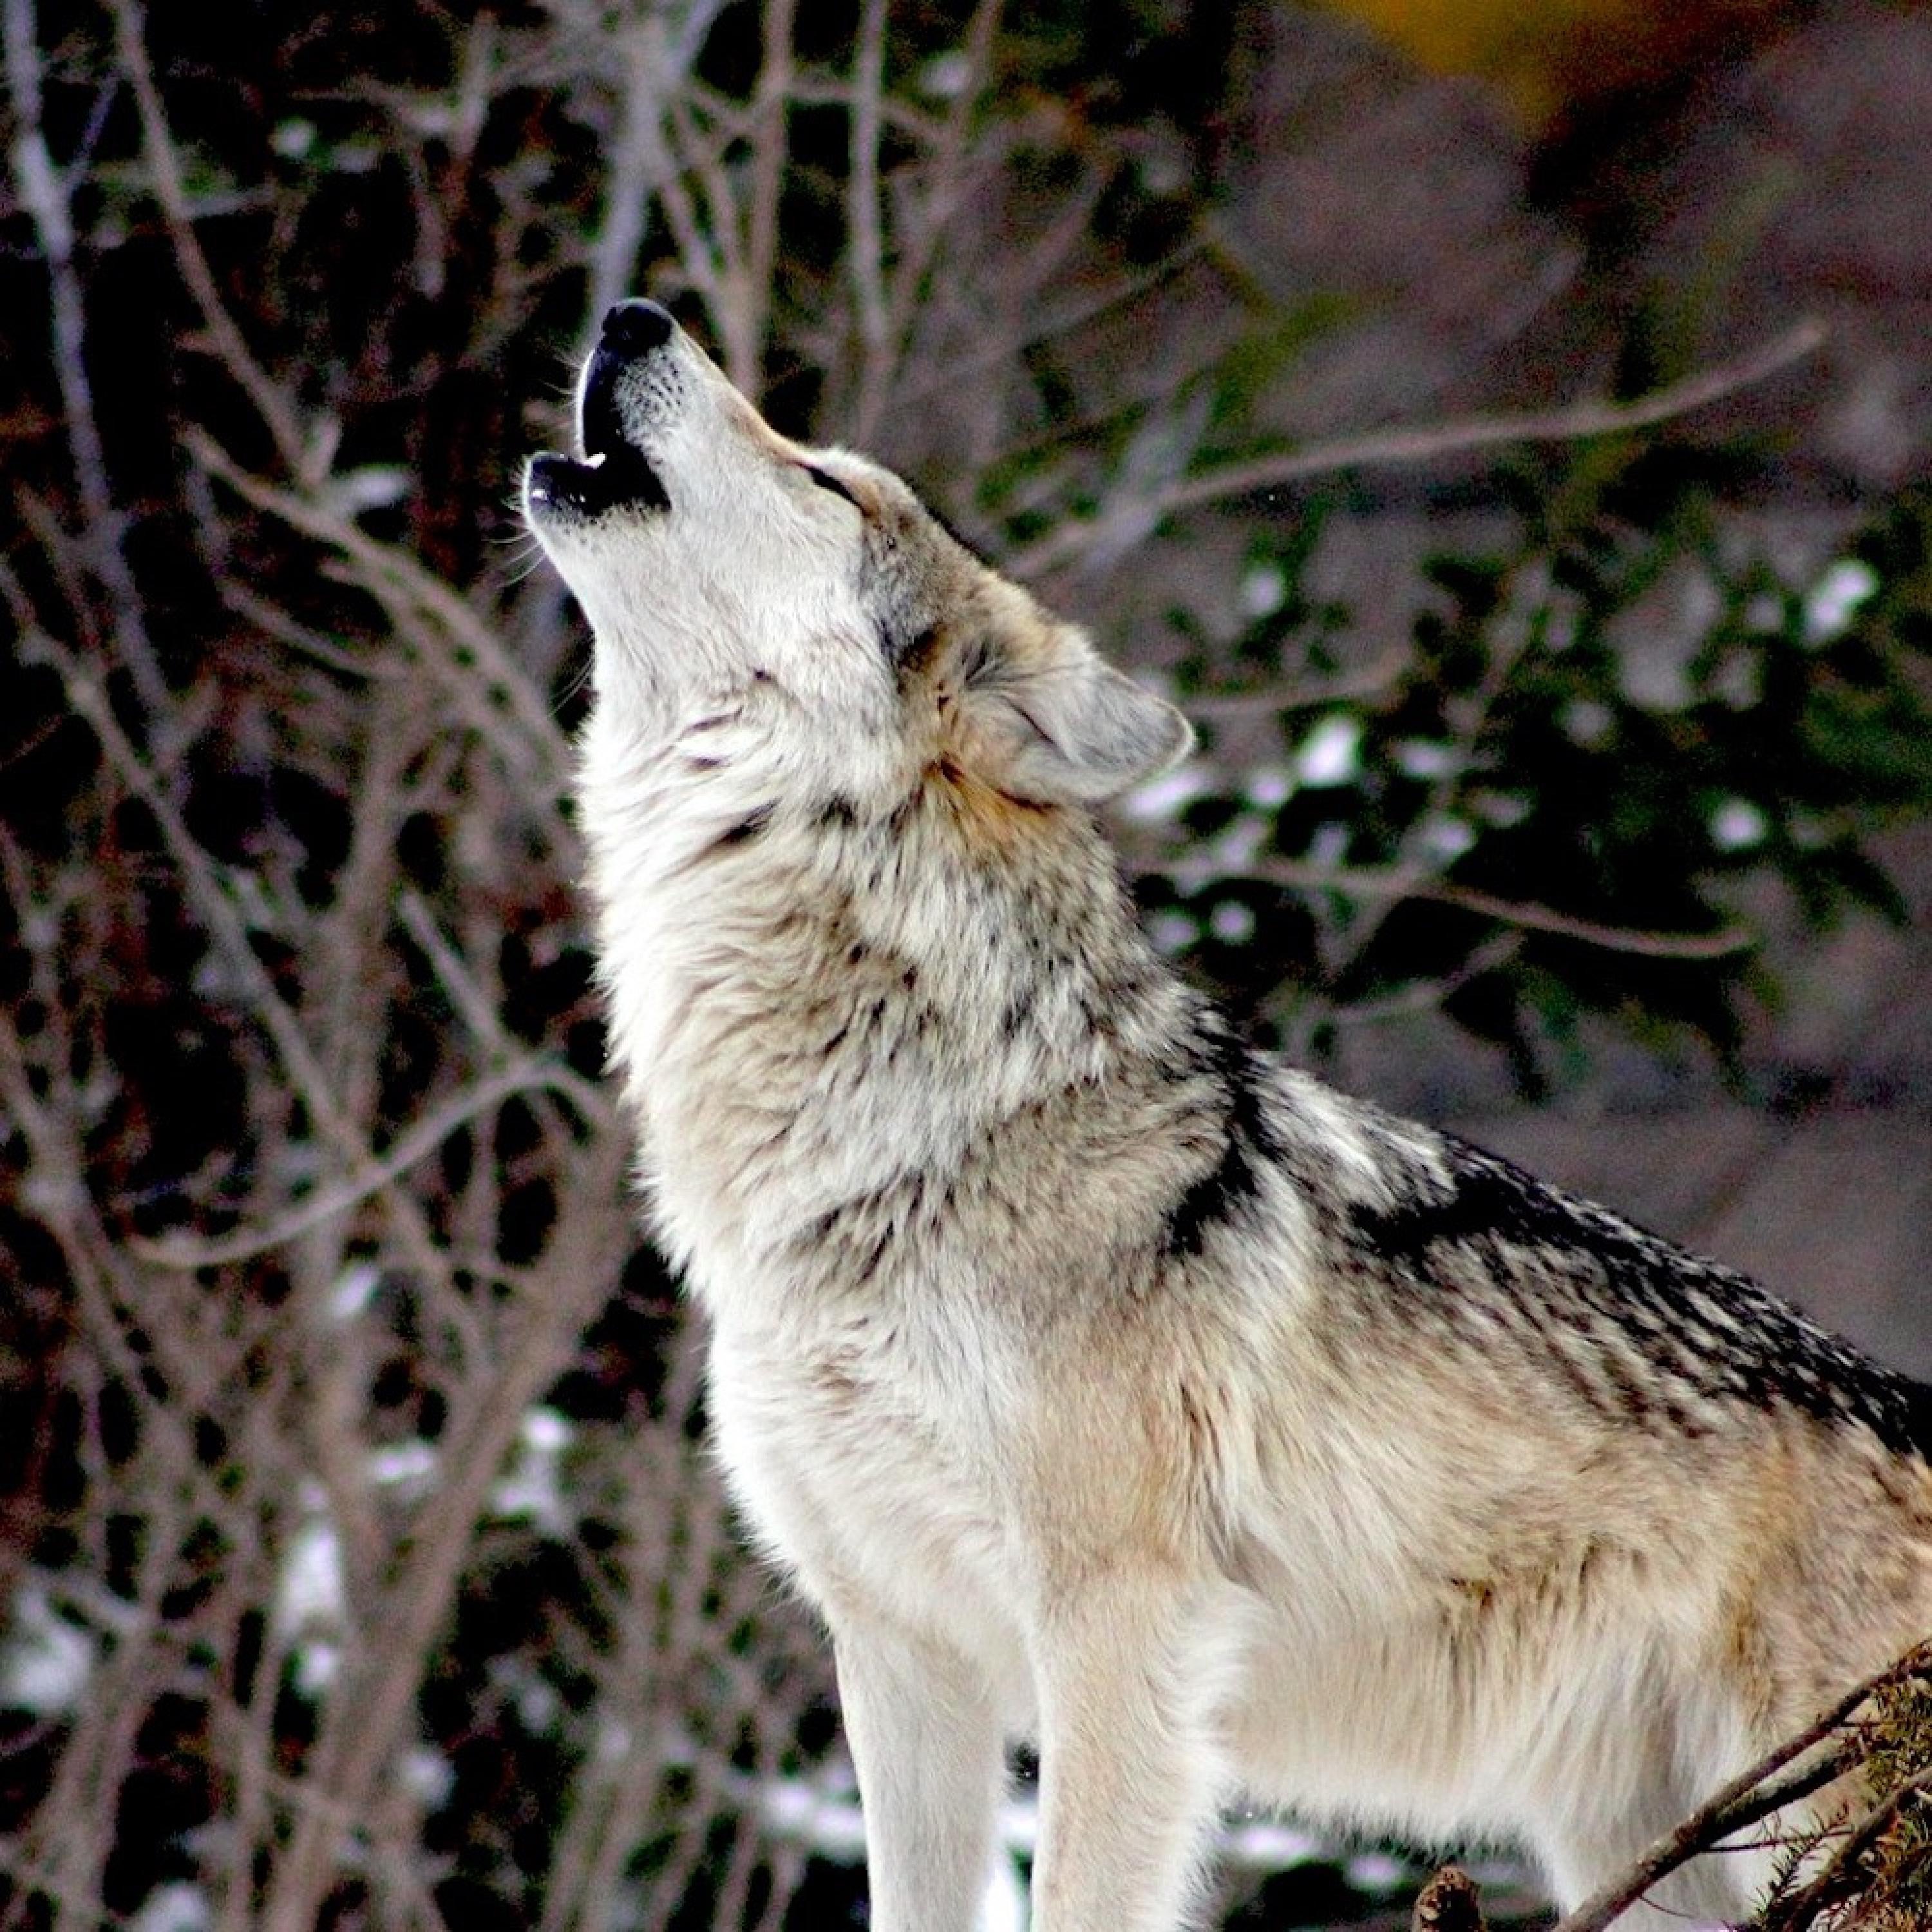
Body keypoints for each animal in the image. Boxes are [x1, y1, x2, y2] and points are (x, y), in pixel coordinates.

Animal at [523, 298, 1932, 1931]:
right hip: (1651, 1855)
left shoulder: (1119, 1627)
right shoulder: (899, 1655)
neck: (903, 1132)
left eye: (824, 479)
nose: (631, 314)